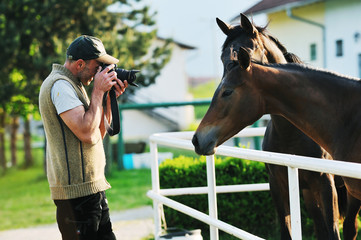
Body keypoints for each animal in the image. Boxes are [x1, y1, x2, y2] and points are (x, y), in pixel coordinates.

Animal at [214, 14, 340, 240]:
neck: (292, 134)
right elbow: (287, 229)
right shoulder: (278, 185)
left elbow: (333, 230)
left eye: (245, 53)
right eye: (222, 57)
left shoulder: (326, 183)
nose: (225, 87)